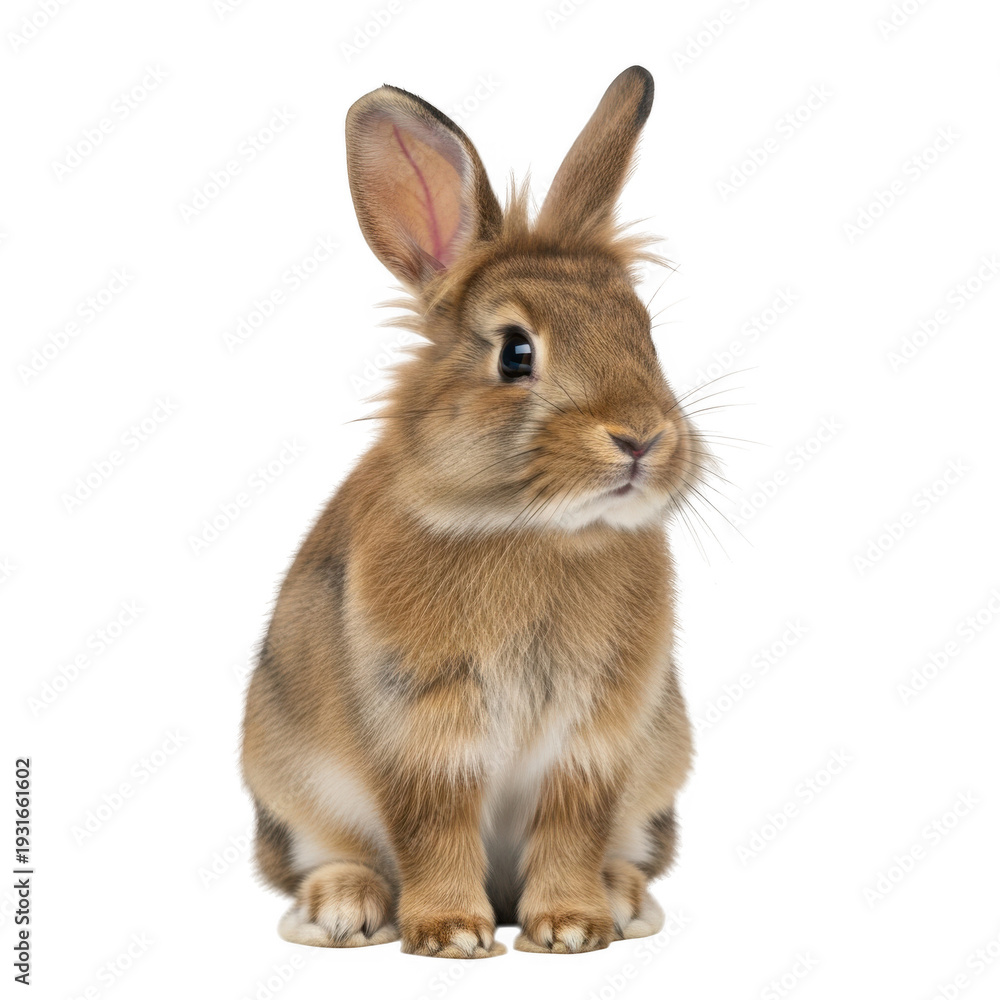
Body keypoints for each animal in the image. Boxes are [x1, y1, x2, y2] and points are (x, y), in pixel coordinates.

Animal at [241, 65, 702, 959]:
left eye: (645, 334)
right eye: (516, 353)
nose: (642, 437)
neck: (534, 530)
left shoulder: (594, 738)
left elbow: (572, 825)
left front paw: (570, 928)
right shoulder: (423, 729)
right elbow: (433, 824)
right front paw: (452, 933)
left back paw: (623, 899)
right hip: (293, 786)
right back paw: (343, 909)